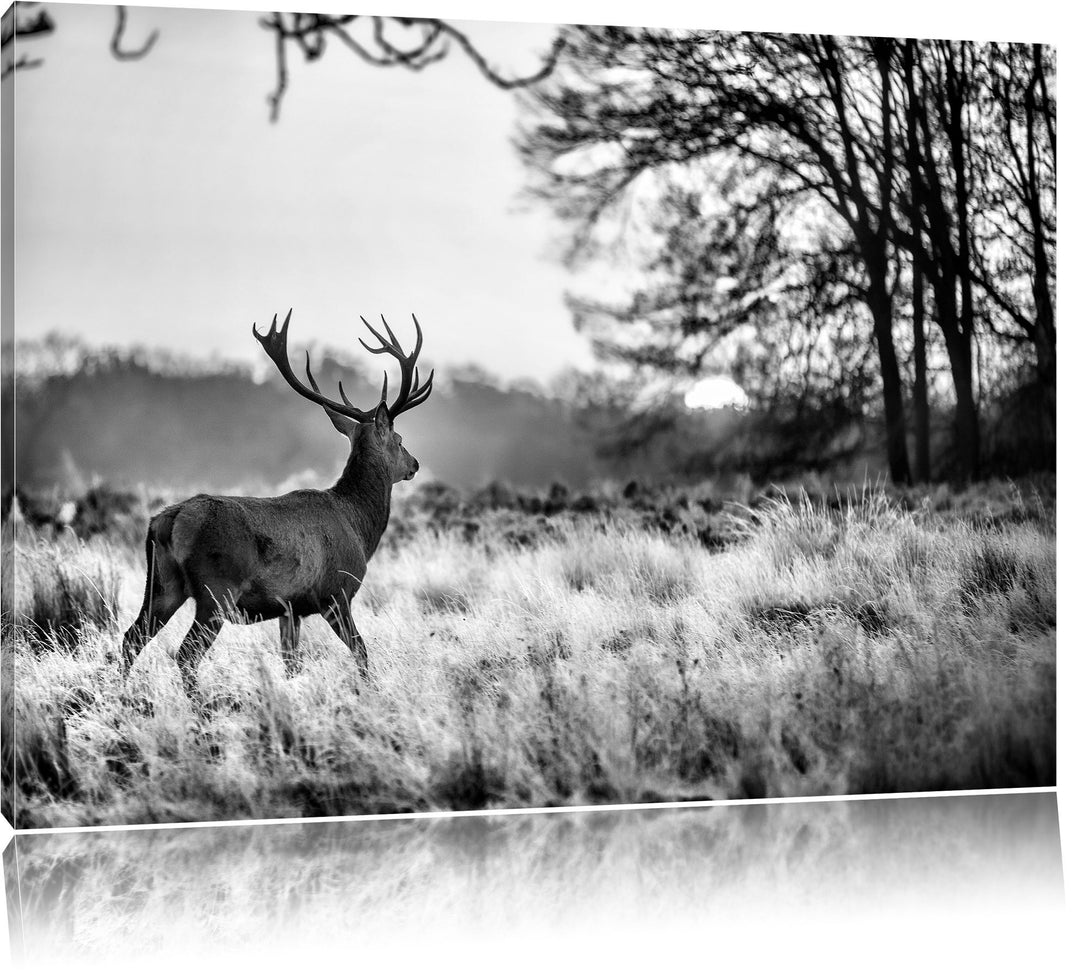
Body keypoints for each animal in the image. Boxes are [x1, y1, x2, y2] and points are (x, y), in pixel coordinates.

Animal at [120, 309, 434, 711]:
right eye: (398, 439)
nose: (415, 464)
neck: (358, 525)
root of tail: (167, 521)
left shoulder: (290, 609)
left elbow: (291, 664)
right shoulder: (335, 593)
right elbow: (361, 651)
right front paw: (370, 695)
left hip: (161, 585)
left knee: (131, 639)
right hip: (215, 590)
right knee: (185, 654)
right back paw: (200, 710)